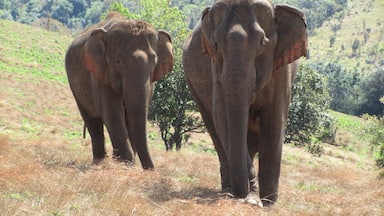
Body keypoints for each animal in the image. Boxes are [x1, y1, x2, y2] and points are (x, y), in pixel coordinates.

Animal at [65, 12, 174, 170]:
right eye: (118, 62)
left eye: (154, 60)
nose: (151, 171)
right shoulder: (100, 76)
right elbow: (112, 112)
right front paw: (124, 163)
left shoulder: (150, 83)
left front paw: (126, 164)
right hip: (75, 87)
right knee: (92, 121)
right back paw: (99, 162)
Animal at [182, 0, 306, 205]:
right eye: (216, 44)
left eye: (262, 42)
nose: (243, 196)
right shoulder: (214, 68)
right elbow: (222, 118)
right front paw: (253, 200)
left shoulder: (281, 70)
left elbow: (274, 120)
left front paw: (269, 202)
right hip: (193, 87)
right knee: (215, 129)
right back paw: (227, 190)